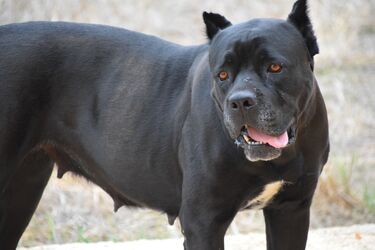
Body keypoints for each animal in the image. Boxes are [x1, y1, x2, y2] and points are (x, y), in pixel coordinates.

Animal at [0, 0, 328, 248]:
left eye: (275, 67)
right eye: (222, 75)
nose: (240, 101)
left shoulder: (291, 210)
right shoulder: (203, 222)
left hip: (22, 187)